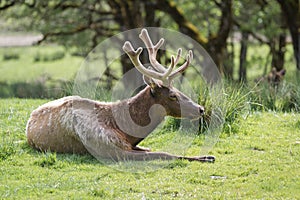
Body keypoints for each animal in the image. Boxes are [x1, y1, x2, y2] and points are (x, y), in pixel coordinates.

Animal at [25, 29, 213, 162]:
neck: (125, 130)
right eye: (172, 95)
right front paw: (206, 157)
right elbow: (163, 153)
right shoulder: (110, 149)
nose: (201, 108)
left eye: (179, 91)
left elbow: (151, 149)